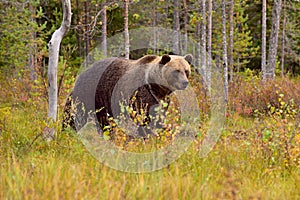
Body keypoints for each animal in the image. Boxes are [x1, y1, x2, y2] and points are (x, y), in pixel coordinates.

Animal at [63, 54, 192, 137]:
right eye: (176, 71)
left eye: (186, 70)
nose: (185, 82)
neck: (156, 87)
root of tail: (82, 73)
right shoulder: (140, 95)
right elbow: (143, 117)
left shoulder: (162, 100)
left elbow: (157, 116)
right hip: (89, 93)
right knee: (75, 114)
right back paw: (67, 131)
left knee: (103, 121)